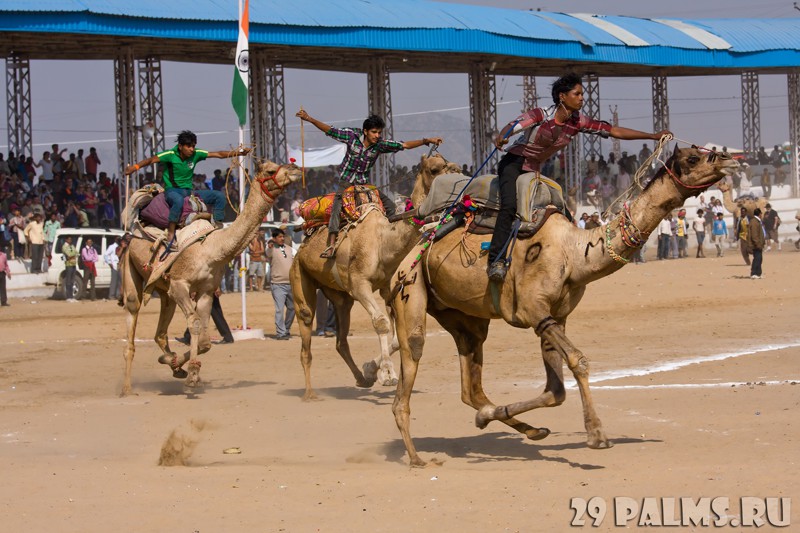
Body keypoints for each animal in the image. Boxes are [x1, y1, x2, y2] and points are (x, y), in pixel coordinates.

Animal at [120, 158, 302, 394]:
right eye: (271, 170)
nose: (296, 168)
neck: (213, 249)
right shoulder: (180, 284)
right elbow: (195, 324)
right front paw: (190, 375)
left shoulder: (206, 291)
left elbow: (205, 341)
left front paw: (182, 366)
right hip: (131, 268)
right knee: (133, 315)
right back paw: (127, 388)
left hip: (165, 291)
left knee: (160, 332)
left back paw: (172, 363)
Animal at [290, 153, 460, 400]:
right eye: (434, 169)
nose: (458, 174)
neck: (384, 242)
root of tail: (301, 247)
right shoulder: (359, 284)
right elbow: (381, 323)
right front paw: (387, 374)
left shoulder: (388, 288)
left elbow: (397, 338)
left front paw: (371, 370)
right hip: (300, 275)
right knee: (305, 332)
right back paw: (309, 394)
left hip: (341, 298)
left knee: (341, 341)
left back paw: (361, 379)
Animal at [388, 145, 736, 466]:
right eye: (693, 157)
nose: (729, 159)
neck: (575, 253)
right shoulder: (533, 310)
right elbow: (578, 361)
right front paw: (597, 435)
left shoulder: (555, 315)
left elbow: (555, 390)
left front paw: (495, 419)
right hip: (410, 289)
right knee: (409, 366)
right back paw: (416, 457)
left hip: (464, 317)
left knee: (471, 386)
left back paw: (510, 423)